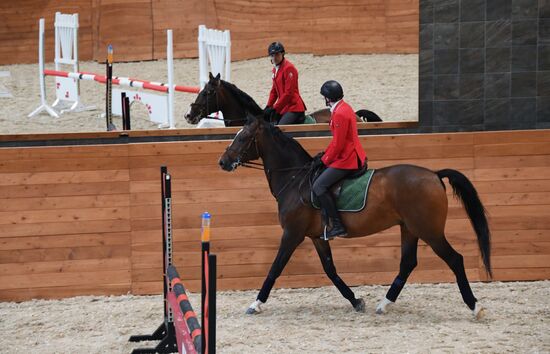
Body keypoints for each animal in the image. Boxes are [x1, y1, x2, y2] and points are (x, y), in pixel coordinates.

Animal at [218, 115, 494, 320]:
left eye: (242, 137)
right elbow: (330, 270)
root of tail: (434, 174)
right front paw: (355, 300)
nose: (222, 161)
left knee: (455, 260)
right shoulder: (317, 236)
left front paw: (255, 303)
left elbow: (275, 268)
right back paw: (384, 304)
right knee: (407, 263)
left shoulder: (292, 234)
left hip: (429, 231)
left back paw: (475, 306)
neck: (295, 179)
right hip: (409, 228)